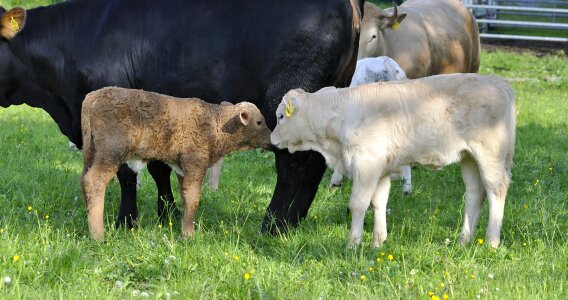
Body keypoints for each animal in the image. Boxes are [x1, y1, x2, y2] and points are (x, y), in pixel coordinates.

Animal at [0, 0, 364, 233]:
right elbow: (159, 169)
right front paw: (167, 214)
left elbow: (126, 174)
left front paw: (126, 222)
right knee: (313, 163)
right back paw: (294, 222)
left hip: (288, 103)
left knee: (293, 164)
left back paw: (272, 226)